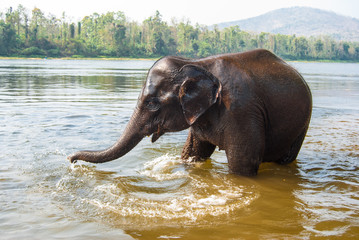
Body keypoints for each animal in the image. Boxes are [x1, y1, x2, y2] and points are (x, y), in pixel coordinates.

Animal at [68, 48, 312, 176]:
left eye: (152, 103)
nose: (71, 159)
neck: (198, 63)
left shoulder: (242, 111)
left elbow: (243, 166)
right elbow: (193, 153)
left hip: (302, 123)